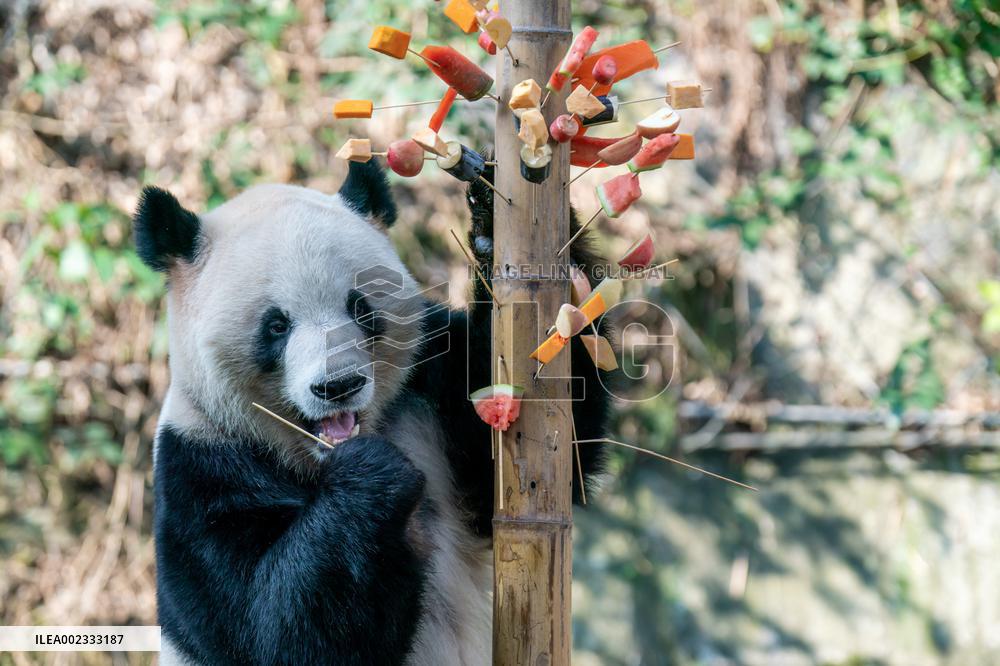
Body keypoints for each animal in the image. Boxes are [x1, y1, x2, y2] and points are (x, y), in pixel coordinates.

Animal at [134, 161, 610, 665]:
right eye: (277, 325)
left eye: (360, 307)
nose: (338, 386)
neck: (313, 459)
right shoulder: (200, 470)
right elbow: (276, 632)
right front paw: (375, 474)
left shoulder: (431, 391)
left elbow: (536, 461)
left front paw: (492, 225)